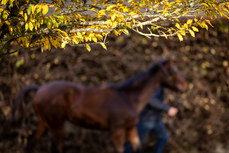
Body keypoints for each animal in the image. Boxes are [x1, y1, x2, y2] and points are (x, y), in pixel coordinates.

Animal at [8, 58, 188, 153]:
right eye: (174, 71)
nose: (185, 86)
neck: (129, 98)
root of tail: (40, 88)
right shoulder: (117, 130)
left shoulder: (131, 129)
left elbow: (136, 147)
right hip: (56, 124)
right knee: (56, 147)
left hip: (45, 123)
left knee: (32, 141)